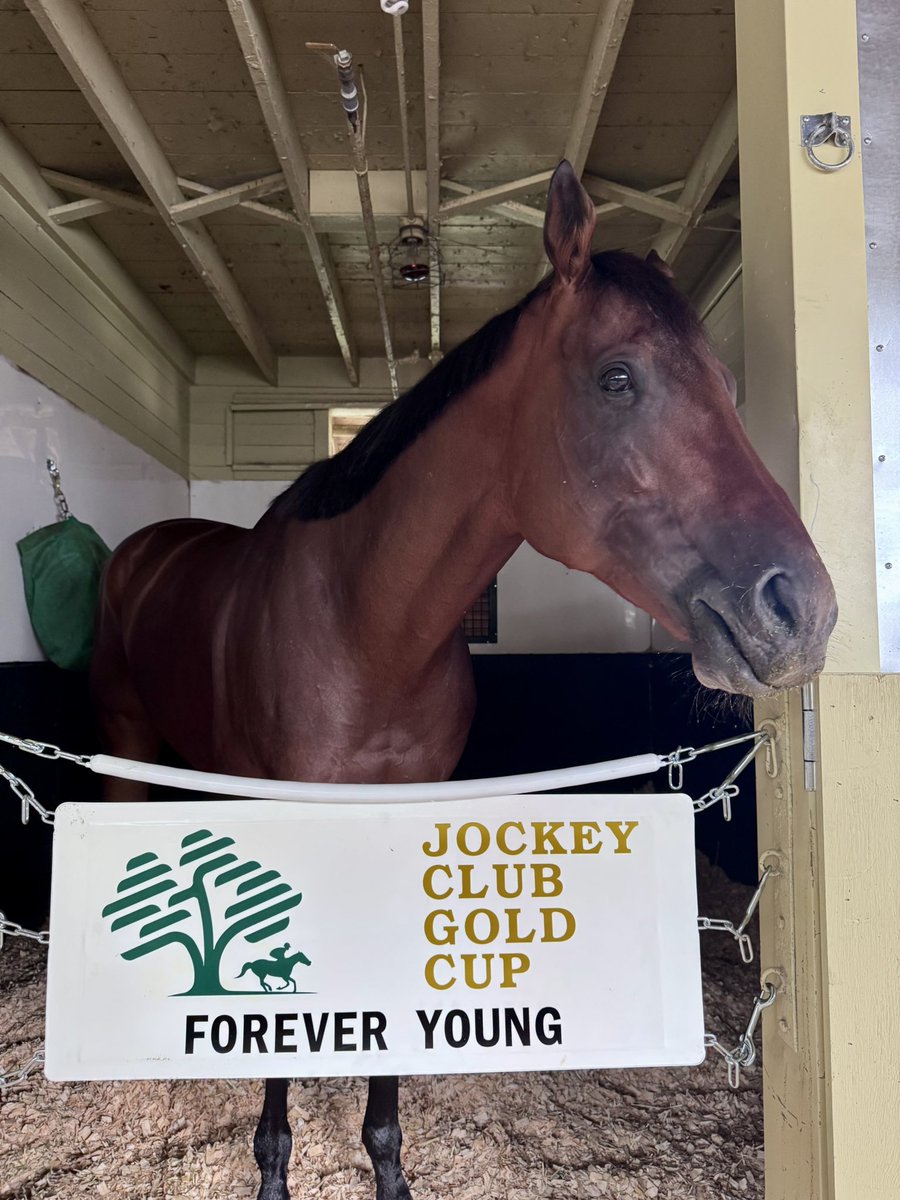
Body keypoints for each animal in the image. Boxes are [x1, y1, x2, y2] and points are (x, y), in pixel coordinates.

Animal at [90, 161, 837, 1200]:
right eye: (617, 377)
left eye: (728, 388)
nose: (800, 611)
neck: (365, 631)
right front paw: (274, 1167)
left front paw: (387, 1164)